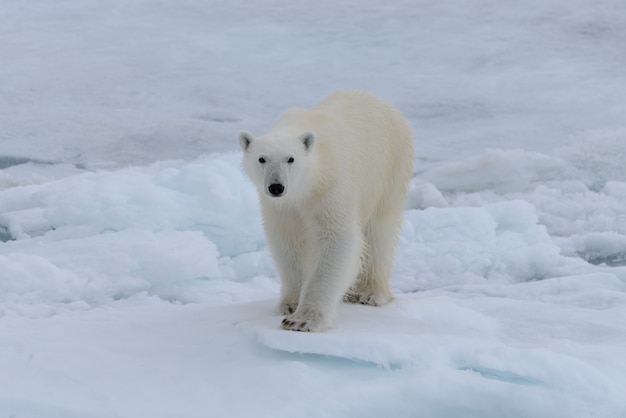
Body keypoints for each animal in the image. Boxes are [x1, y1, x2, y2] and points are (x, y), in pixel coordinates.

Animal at [236, 90, 412, 332]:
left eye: (291, 159)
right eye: (262, 159)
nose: (276, 187)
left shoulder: (331, 186)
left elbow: (336, 238)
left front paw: (303, 320)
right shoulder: (282, 207)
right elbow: (287, 242)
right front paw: (290, 304)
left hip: (390, 169)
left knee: (379, 231)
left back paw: (369, 293)